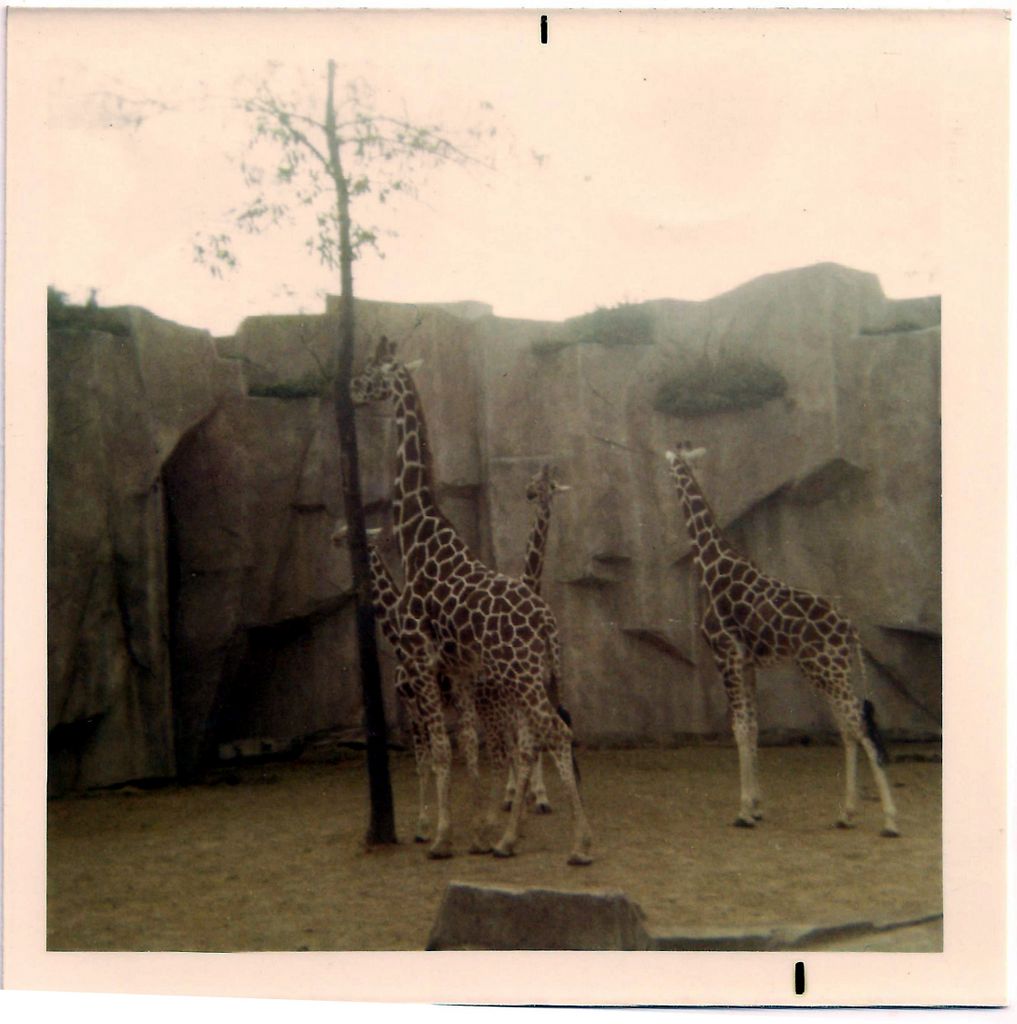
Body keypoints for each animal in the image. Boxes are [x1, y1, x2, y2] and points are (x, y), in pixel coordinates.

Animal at [350, 336, 593, 864]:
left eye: (372, 370)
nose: (352, 390)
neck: (417, 537)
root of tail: (547, 623)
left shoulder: (422, 655)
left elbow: (445, 749)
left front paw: (442, 838)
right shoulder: (457, 668)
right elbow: (467, 743)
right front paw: (478, 833)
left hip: (521, 677)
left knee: (554, 733)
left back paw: (580, 844)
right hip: (532, 677)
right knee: (542, 735)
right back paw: (514, 837)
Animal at [664, 441, 899, 837]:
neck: (713, 565)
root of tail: (851, 630)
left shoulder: (726, 655)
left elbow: (740, 727)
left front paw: (744, 811)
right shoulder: (747, 662)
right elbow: (753, 726)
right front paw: (757, 807)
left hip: (825, 669)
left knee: (859, 725)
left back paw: (890, 820)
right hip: (832, 670)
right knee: (848, 728)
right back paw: (846, 813)